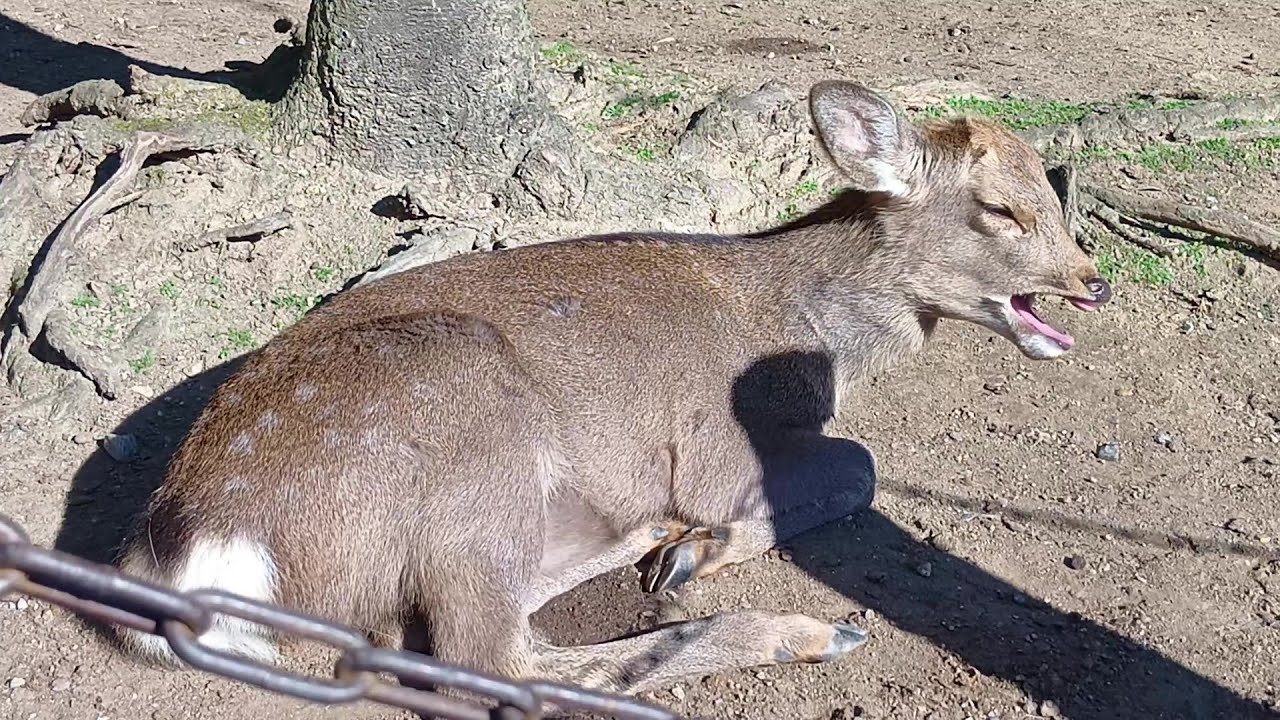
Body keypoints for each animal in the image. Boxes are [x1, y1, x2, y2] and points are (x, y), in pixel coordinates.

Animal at [113, 79, 1112, 698]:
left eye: (1054, 198)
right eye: (1001, 210)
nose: (1093, 283)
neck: (821, 339)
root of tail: (191, 547)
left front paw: (686, 546)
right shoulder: (722, 447)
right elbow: (858, 467)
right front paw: (700, 548)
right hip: (469, 431)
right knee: (491, 659)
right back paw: (803, 628)